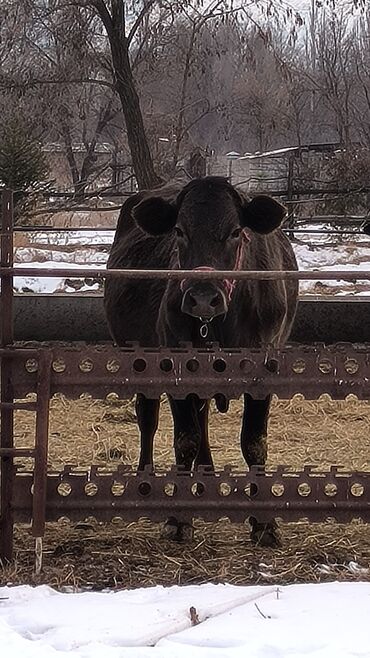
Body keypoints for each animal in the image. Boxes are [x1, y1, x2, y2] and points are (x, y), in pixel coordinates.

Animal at [103, 176, 298, 544]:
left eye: (236, 231)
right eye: (179, 230)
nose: (203, 298)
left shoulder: (266, 366)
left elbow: (254, 442)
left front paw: (264, 523)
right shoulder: (174, 364)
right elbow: (185, 439)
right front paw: (179, 519)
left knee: (203, 415)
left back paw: (206, 476)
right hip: (137, 357)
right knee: (148, 417)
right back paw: (147, 481)